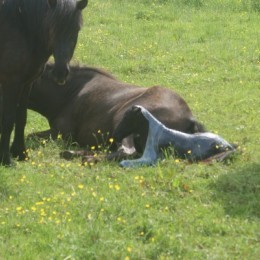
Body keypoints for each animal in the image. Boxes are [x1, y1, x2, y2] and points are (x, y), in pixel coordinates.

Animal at [0, 0, 88, 165]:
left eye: (76, 29)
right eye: (52, 27)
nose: (60, 72)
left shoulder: (26, 83)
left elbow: (21, 118)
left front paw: (20, 153)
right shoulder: (11, 83)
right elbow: (8, 120)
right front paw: (6, 159)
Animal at [28, 64, 206, 159]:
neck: (69, 92)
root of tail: (190, 119)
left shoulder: (61, 134)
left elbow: (30, 136)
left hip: (125, 121)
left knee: (126, 152)